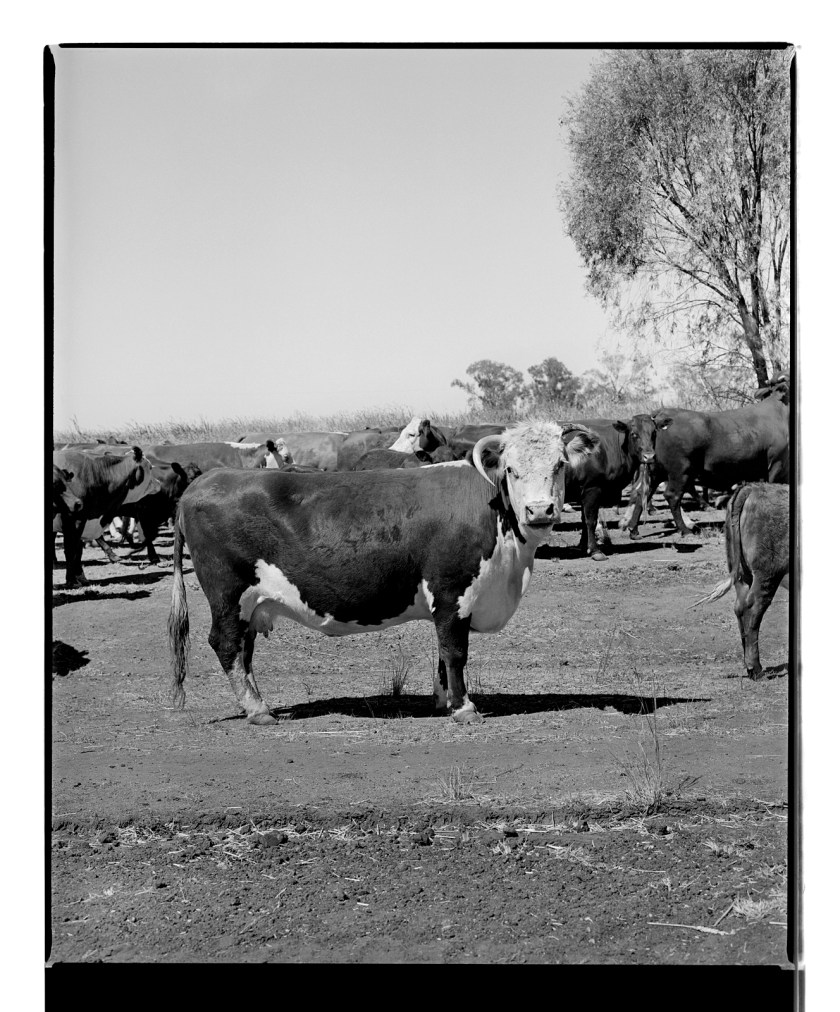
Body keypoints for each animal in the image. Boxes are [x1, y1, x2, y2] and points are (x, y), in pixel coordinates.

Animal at [52, 447, 159, 588]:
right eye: (150, 467)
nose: (159, 483)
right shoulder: (73, 520)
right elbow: (70, 551)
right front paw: (71, 581)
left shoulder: (84, 522)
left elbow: (78, 551)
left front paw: (81, 577)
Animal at [168, 421, 600, 726]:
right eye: (511, 469)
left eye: (560, 465)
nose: (540, 510)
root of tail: (205, 481)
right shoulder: (452, 593)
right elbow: (454, 651)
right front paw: (463, 708)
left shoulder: (447, 603)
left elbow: (442, 654)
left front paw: (443, 701)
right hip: (228, 594)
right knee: (226, 644)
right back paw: (259, 711)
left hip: (251, 603)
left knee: (243, 649)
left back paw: (256, 704)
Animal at [693, 483, 789, 678]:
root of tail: (752, 487)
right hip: (767, 573)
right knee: (753, 607)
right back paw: (755, 667)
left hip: (743, 574)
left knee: (740, 607)